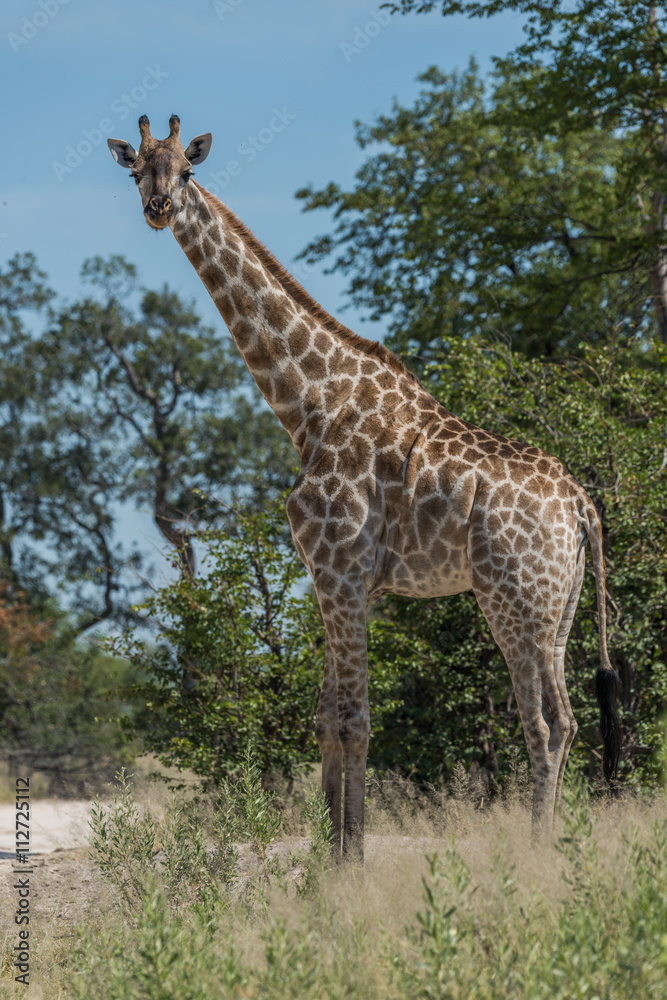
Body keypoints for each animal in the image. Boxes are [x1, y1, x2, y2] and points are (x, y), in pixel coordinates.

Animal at [108, 116, 620, 859]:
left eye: (187, 170)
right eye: (136, 169)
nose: (159, 207)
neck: (308, 405)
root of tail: (582, 505)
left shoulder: (341, 571)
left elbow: (353, 719)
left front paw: (348, 861)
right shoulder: (339, 580)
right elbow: (327, 718)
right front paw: (329, 855)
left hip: (515, 598)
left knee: (547, 721)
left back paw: (536, 850)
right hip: (561, 604)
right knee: (568, 719)